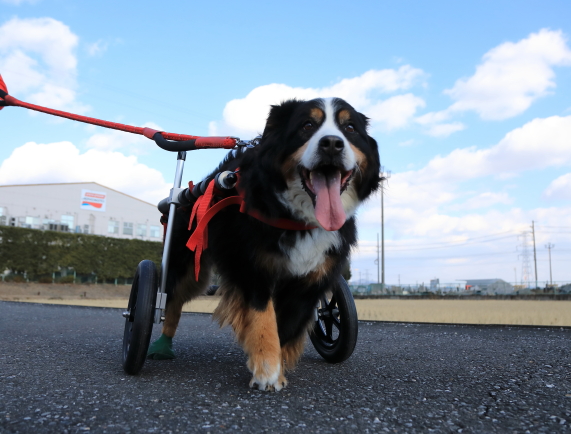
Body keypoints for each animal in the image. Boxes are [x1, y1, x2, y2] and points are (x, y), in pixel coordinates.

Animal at [149, 97, 380, 390]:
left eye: (350, 128)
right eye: (307, 125)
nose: (331, 143)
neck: (298, 218)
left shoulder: (312, 279)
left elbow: (288, 325)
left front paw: (278, 364)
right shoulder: (253, 266)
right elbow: (263, 318)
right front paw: (267, 371)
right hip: (188, 263)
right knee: (171, 298)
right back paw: (160, 346)